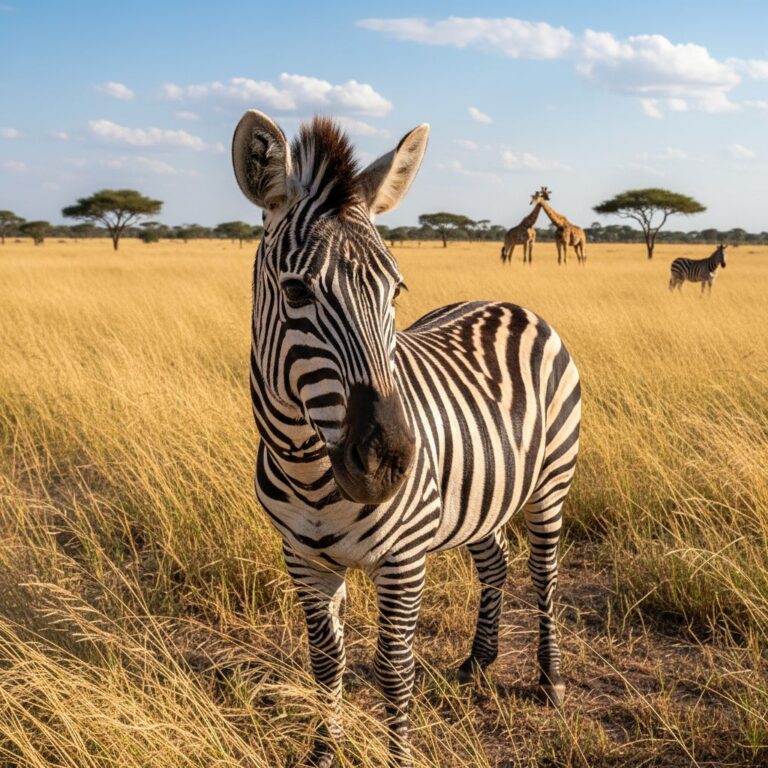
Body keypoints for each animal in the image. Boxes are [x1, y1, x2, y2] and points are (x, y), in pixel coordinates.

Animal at [232, 110, 582, 768]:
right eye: (296, 292)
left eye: (396, 291)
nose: (389, 460)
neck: (310, 472)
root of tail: (509, 301)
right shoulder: (303, 559)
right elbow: (326, 665)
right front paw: (323, 752)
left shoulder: (404, 558)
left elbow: (395, 671)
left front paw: (397, 753)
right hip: (480, 497)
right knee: (495, 564)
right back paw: (477, 663)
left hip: (551, 483)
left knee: (544, 576)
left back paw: (550, 681)